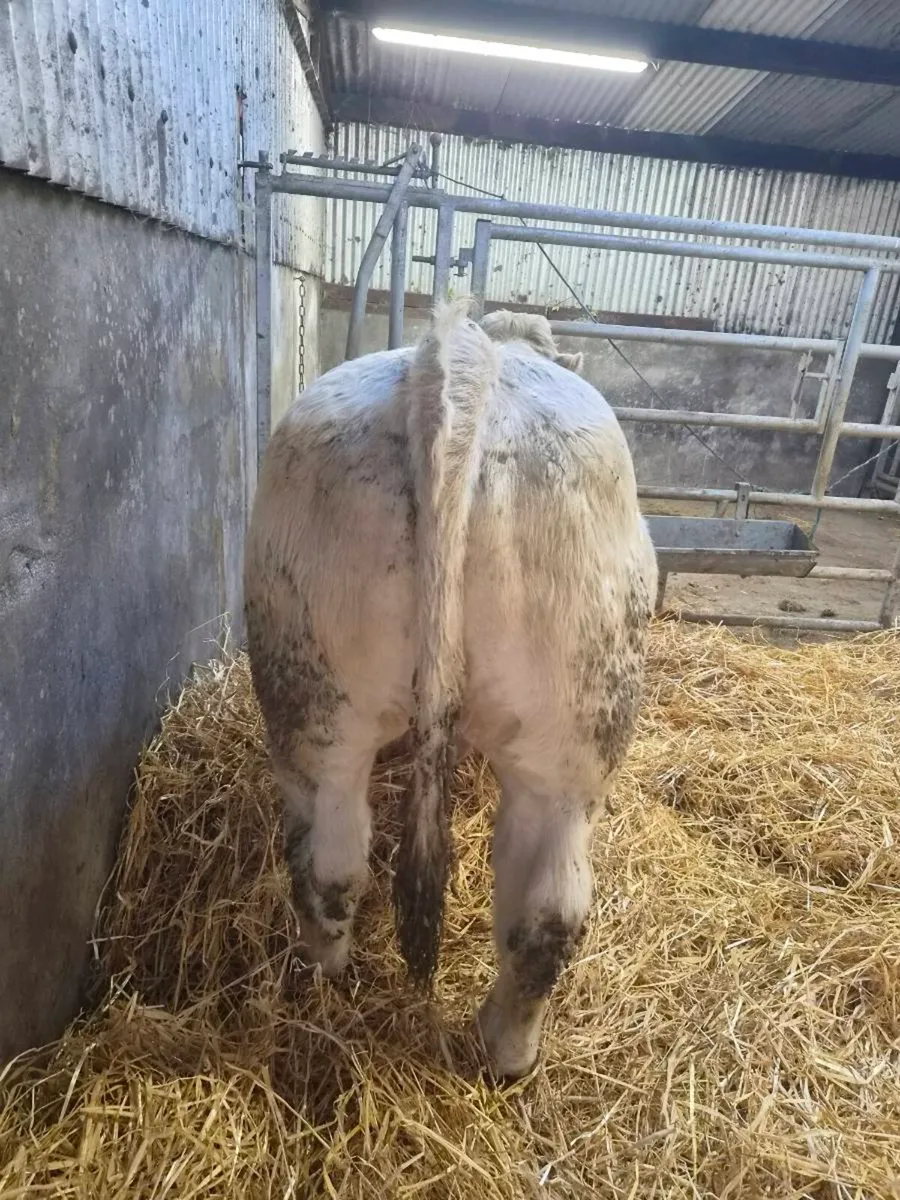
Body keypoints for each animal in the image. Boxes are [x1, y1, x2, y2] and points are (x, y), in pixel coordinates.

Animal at [243, 302, 657, 1079]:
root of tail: (459, 357)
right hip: (572, 735)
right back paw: (504, 1050)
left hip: (317, 702)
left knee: (336, 869)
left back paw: (335, 989)